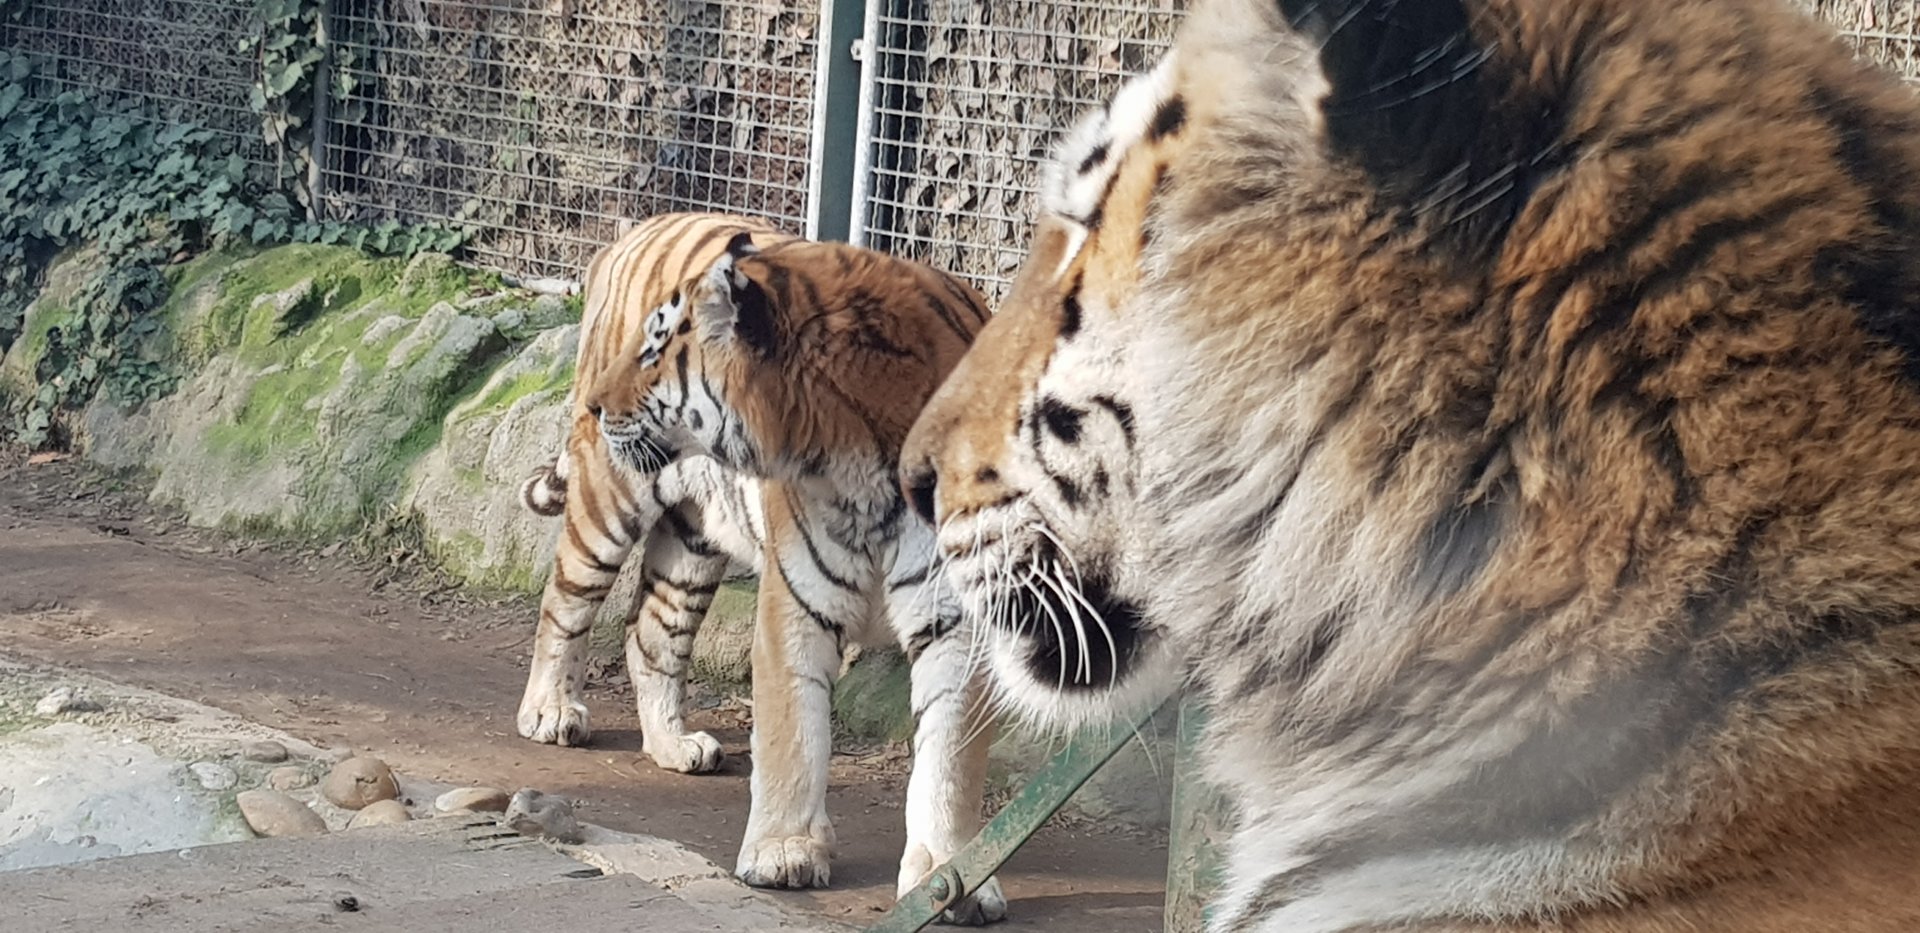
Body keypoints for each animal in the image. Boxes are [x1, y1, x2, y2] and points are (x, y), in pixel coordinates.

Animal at [522, 213, 1007, 922]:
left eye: (655, 351)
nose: (594, 406)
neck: (866, 455)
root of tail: (635, 231)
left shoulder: (957, 624)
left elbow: (949, 762)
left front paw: (949, 876)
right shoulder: (796, 604)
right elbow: (792, 732)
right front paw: (784, 853)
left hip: (692, 538)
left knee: (649, 636)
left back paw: (674, 746)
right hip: (608, 501)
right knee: (563, 605)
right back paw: (550, 712)